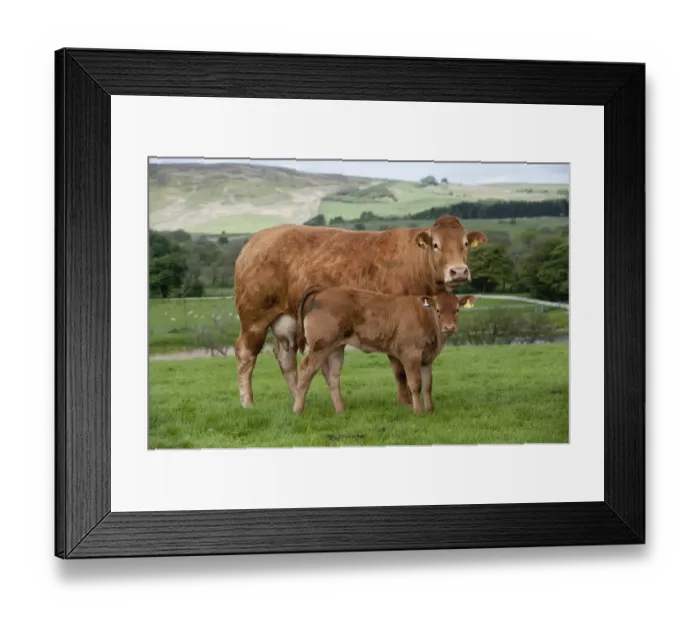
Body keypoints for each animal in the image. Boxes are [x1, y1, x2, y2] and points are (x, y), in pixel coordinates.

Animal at [292, 286, 477, 415]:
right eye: (438, 309)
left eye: (457, 309)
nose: (449, 327)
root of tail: (324, 291)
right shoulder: (410, 355)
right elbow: (415, 384)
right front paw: (418, 412)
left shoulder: (427, 358)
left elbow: (427, 385)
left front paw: (431, 410)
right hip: (320, 346)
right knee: (306, 370)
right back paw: (298, 410)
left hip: (336, 348)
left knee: (332, 376)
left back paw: (340, 411)